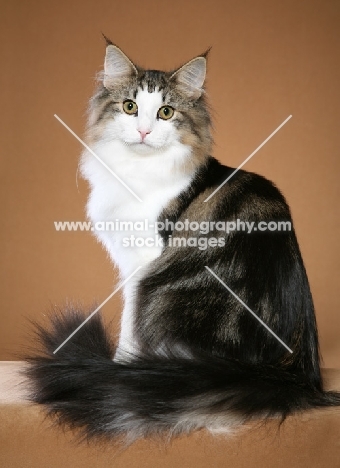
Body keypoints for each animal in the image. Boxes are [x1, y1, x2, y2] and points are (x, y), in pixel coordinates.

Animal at [25, 37, 340, 442]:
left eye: (165, 112)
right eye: (130, 107)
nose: (144, 131)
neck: (138, 170)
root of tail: (288, 374)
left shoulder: (141, 264)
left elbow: (129, 326)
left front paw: (121, 367)